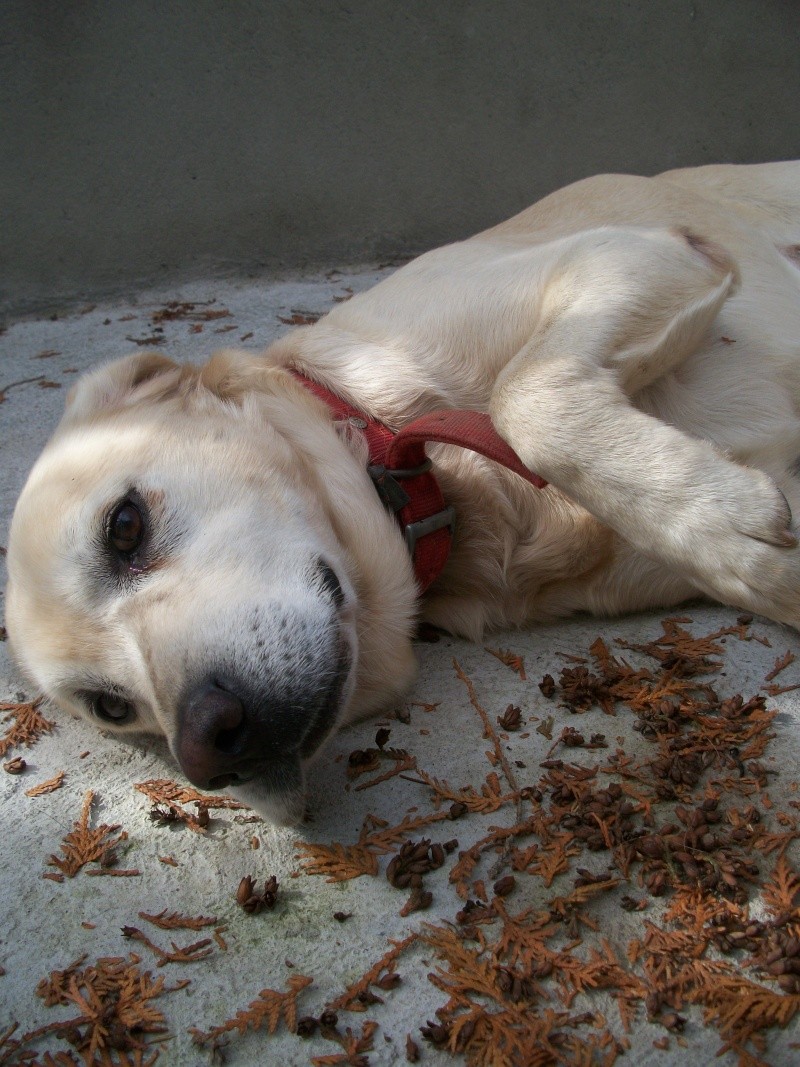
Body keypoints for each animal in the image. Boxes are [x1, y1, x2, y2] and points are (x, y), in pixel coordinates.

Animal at [6, 162, 800, 819]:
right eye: (110, 706)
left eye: (124, 526)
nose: (207, 747)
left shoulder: (641, 252)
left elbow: (524, 394)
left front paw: (724, 520)